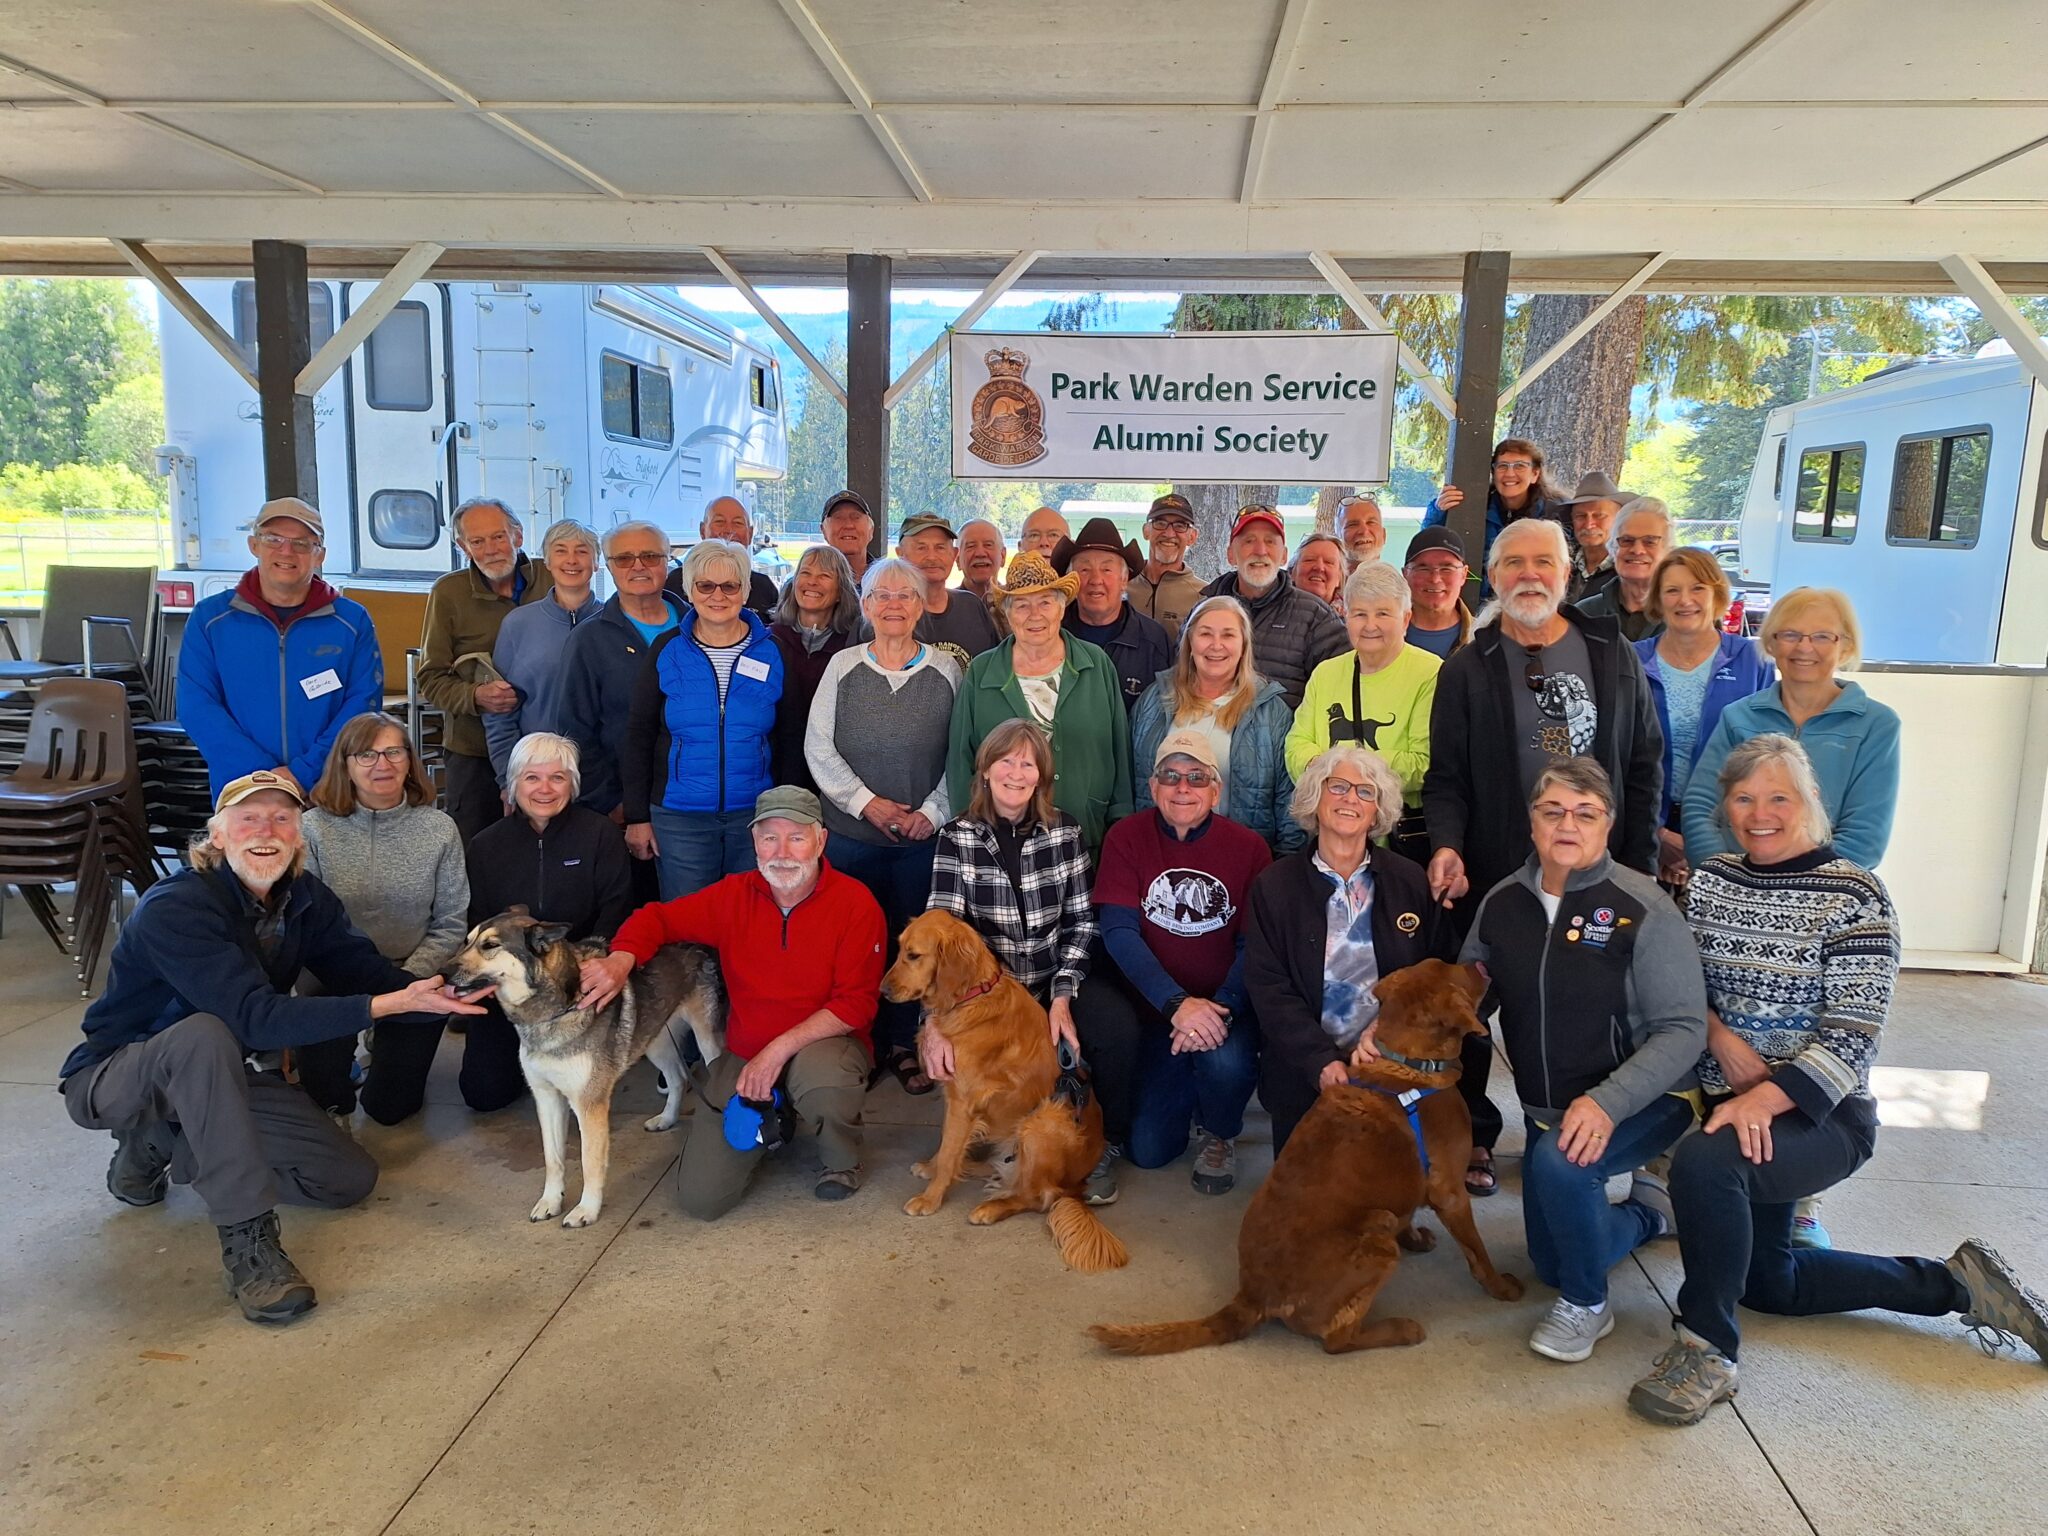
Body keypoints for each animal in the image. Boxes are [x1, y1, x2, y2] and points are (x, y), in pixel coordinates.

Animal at [446, 913, 729, 1228]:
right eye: (467, 941)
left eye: (490, 945)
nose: (443, 971)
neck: (552, 1012)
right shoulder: (546, 1098)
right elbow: (553, 1158)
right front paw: (550, 1201)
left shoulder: (589, 1104)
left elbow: (589, 1162)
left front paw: (587, 1210)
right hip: (654, 1038)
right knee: (678, 1078)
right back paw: (666, 1119)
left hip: (705, 1039)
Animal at [884, 913, 1130, 1277]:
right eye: (900, 949)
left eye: (913, 955)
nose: (882, 991)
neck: (972, 996)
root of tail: (1076, 1188)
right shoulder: (955, 1099)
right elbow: (947, 1147)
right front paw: (933, 1167)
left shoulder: (963, 1101)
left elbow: (949, 1151)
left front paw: (930, 1198)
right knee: (1003, 1168)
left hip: (1042, 1121)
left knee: (1037, 1196)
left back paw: (991, 1208)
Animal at [1097, 962, 1515, 1359]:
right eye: (1462, 975)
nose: (1481, 963)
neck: (1407, 1064)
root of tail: (1251, 1297)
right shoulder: (1451, 1193)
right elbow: (1477, 1252)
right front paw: (1502, 1287)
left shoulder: (1416, 1185)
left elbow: (1409, 1211)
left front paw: (1415, 1237)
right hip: (1377, 1243)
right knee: (1337, 1340)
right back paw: (1400, 1329)